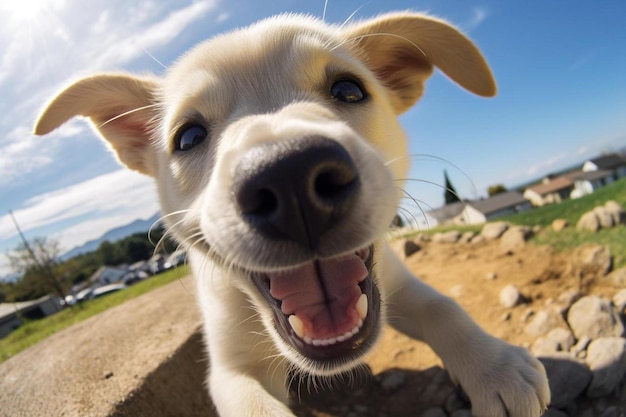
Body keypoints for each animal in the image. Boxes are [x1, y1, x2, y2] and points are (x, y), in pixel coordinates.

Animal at [36, 11, 548, 414]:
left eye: (349, 90)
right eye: (188, 137)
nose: (290, 177)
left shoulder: (395, 283)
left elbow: (443, 306)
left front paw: (496, 367)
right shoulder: (229, 369)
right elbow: (253, 406)